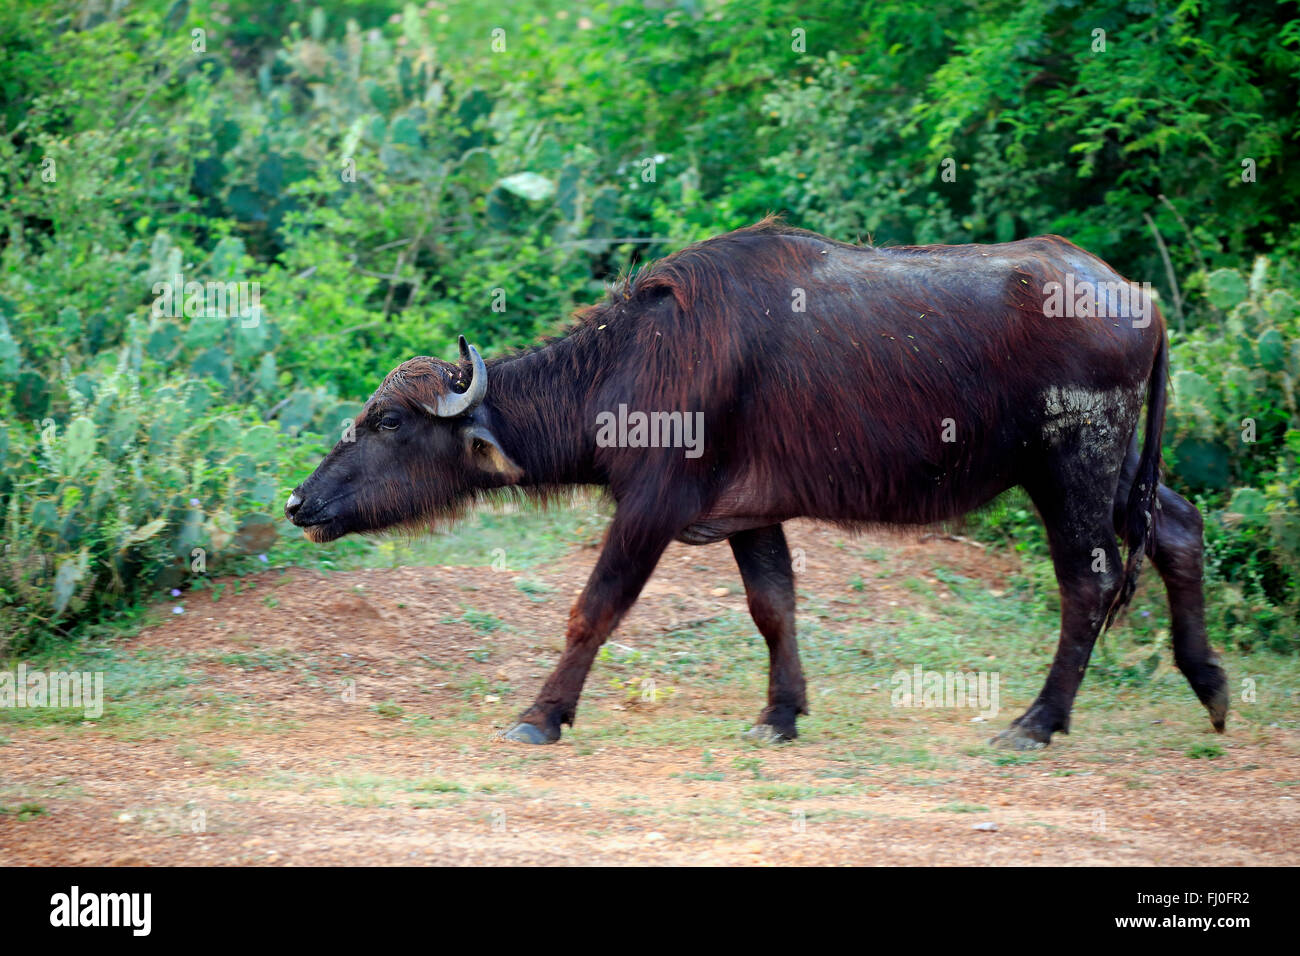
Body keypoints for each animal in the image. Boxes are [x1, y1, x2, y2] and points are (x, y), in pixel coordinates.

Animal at [287, 221, 1227, 749]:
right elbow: (774, 607)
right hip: (1118, 468)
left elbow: (594, 608)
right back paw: (1211, 687)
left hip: (1073, 463)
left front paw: (542, 716)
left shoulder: (652, 507)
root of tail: (1136, 296)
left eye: (388, 421)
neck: (637, 362)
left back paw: (1037, 721)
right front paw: (781, 714)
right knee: (1180, 527)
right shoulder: (749, 516)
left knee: (1089, 583)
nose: (299, 502)